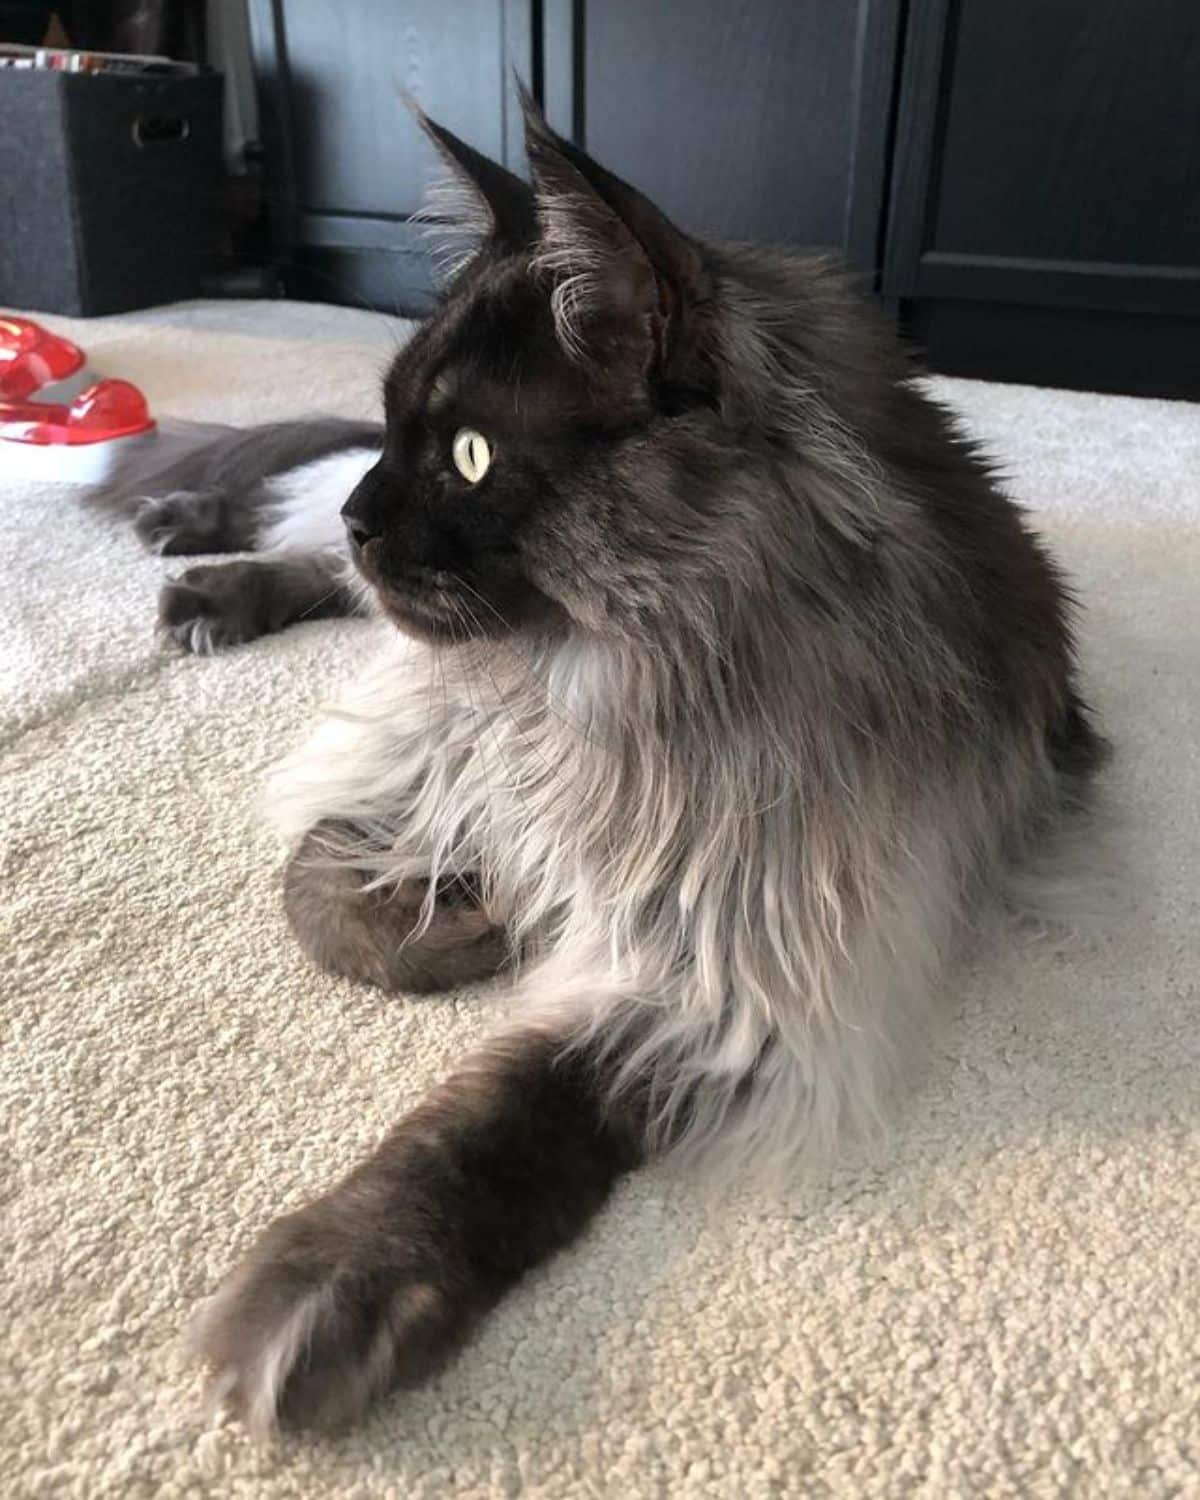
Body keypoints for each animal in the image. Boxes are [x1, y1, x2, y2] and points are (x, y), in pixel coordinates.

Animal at [105, 99, 1104, 1434]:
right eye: (398, 427)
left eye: (473, 456)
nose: (376, 517)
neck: (597, 671)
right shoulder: (430, 748)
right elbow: (322, 886)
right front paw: (463, 918)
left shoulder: (723, 976)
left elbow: (501, 1116)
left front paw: (336, 1283)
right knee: (299, 525)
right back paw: (197, 557)